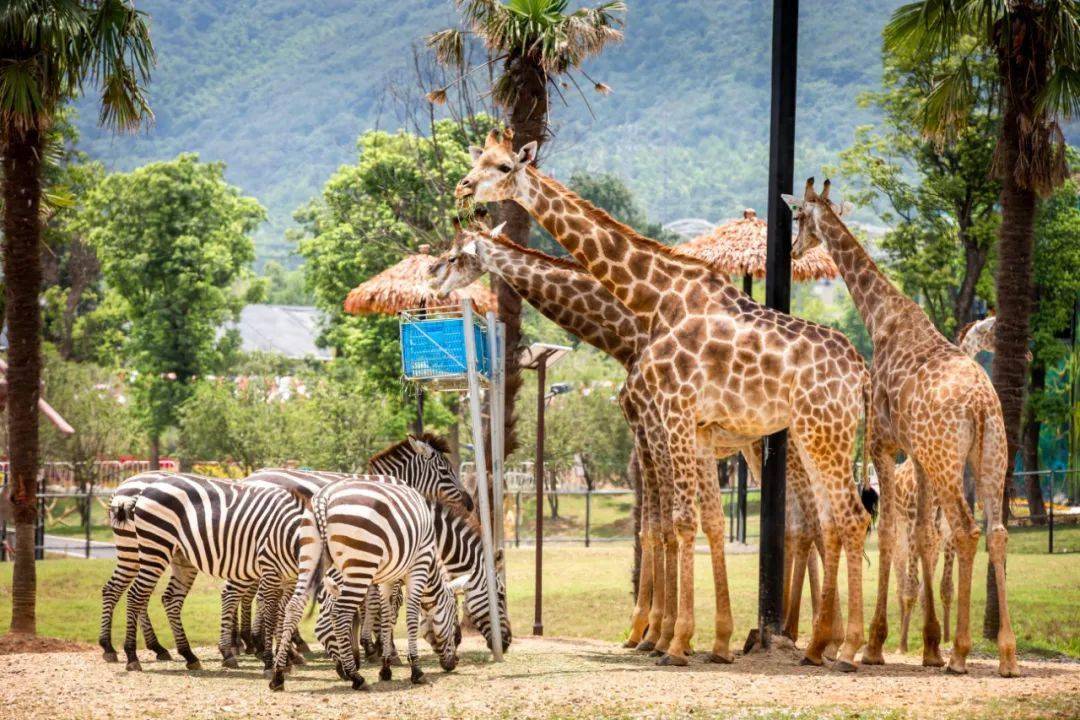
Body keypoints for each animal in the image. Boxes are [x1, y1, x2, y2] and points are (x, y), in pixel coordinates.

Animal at [113, 474, 304, 673]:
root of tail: (143, 491)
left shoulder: (291, 578)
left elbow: (285, 611)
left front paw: (285, 658)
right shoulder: (271, 571)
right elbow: (272, 611)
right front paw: (272, 660)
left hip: (179, 557)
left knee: (169, 598)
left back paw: (188, 655)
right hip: (154, 547)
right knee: (135, 595)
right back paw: (131, 656)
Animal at [270, 479, 460, 690]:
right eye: (454, 616)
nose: (454, 663)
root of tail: (323, 498)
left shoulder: (387, 578)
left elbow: (386, 616)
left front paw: (385, 667)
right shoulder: (419, 565)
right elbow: (410, 616)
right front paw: (416, 670)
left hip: (309, 557)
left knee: (293, 607)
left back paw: (278, 676)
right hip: (361, 562)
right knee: (340, 613)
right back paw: (356, 677)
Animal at [453, 131, 868, 669]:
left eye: (502, 166)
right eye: (476, 160)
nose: (463, 188)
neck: (654, 301)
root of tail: (860, 371)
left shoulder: (668, 416)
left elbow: (675, 523)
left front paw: (671, 640)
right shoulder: (682, 429)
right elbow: (689, 523)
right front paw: (694, 638)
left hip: (821, 435)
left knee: (846, 519)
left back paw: (849, 646)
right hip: (814, 437)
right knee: (829, 522)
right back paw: (818, 643)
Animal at [781, 179, 1015, 677]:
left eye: (798, 217)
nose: (793, 250)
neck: (881, 318)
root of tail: (981, 406)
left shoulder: (883, 444)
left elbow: (888, 532)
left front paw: (873, 645)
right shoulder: (918, 456)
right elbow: (922, 537)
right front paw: (927, 647)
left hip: (949, 462)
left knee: (967, 530)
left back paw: (961, 654)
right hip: (990, 458)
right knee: (997, 532)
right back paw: (1007, 655)